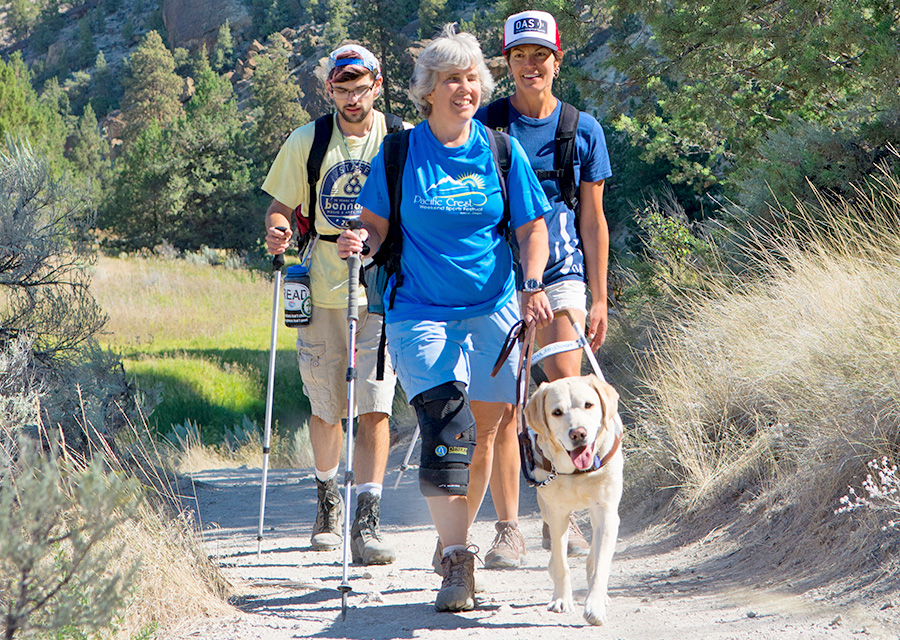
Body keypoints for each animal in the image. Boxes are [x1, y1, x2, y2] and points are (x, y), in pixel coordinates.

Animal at [520, 372, 624, 628]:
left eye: (589, 405)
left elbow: (600, 564)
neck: (577, 472)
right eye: (557, 412)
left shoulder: (607, 513)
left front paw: (595, 606)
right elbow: (561, 564)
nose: (578, 433)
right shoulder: (558, 515)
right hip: (547, 509)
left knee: (594, 554)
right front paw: (561, 599)